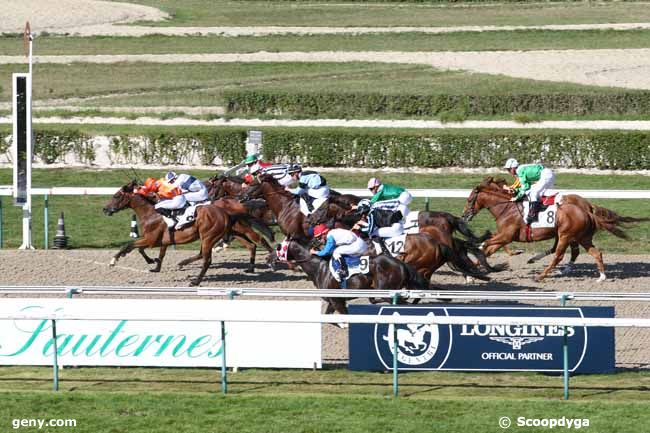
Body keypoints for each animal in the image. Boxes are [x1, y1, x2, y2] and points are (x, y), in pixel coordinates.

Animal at [460, 177, 644, 282]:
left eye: (469, 200)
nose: (464, 215)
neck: (507, 208)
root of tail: (587, 210)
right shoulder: (503, 236)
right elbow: (487, 249)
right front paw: (472, 271)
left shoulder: (506, 235)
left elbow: (485, 246)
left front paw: (471, 267)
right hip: (581, 237)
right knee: (594, 252)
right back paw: (601, 277)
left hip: (565, 235)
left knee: (559, 255)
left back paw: (542, 275)